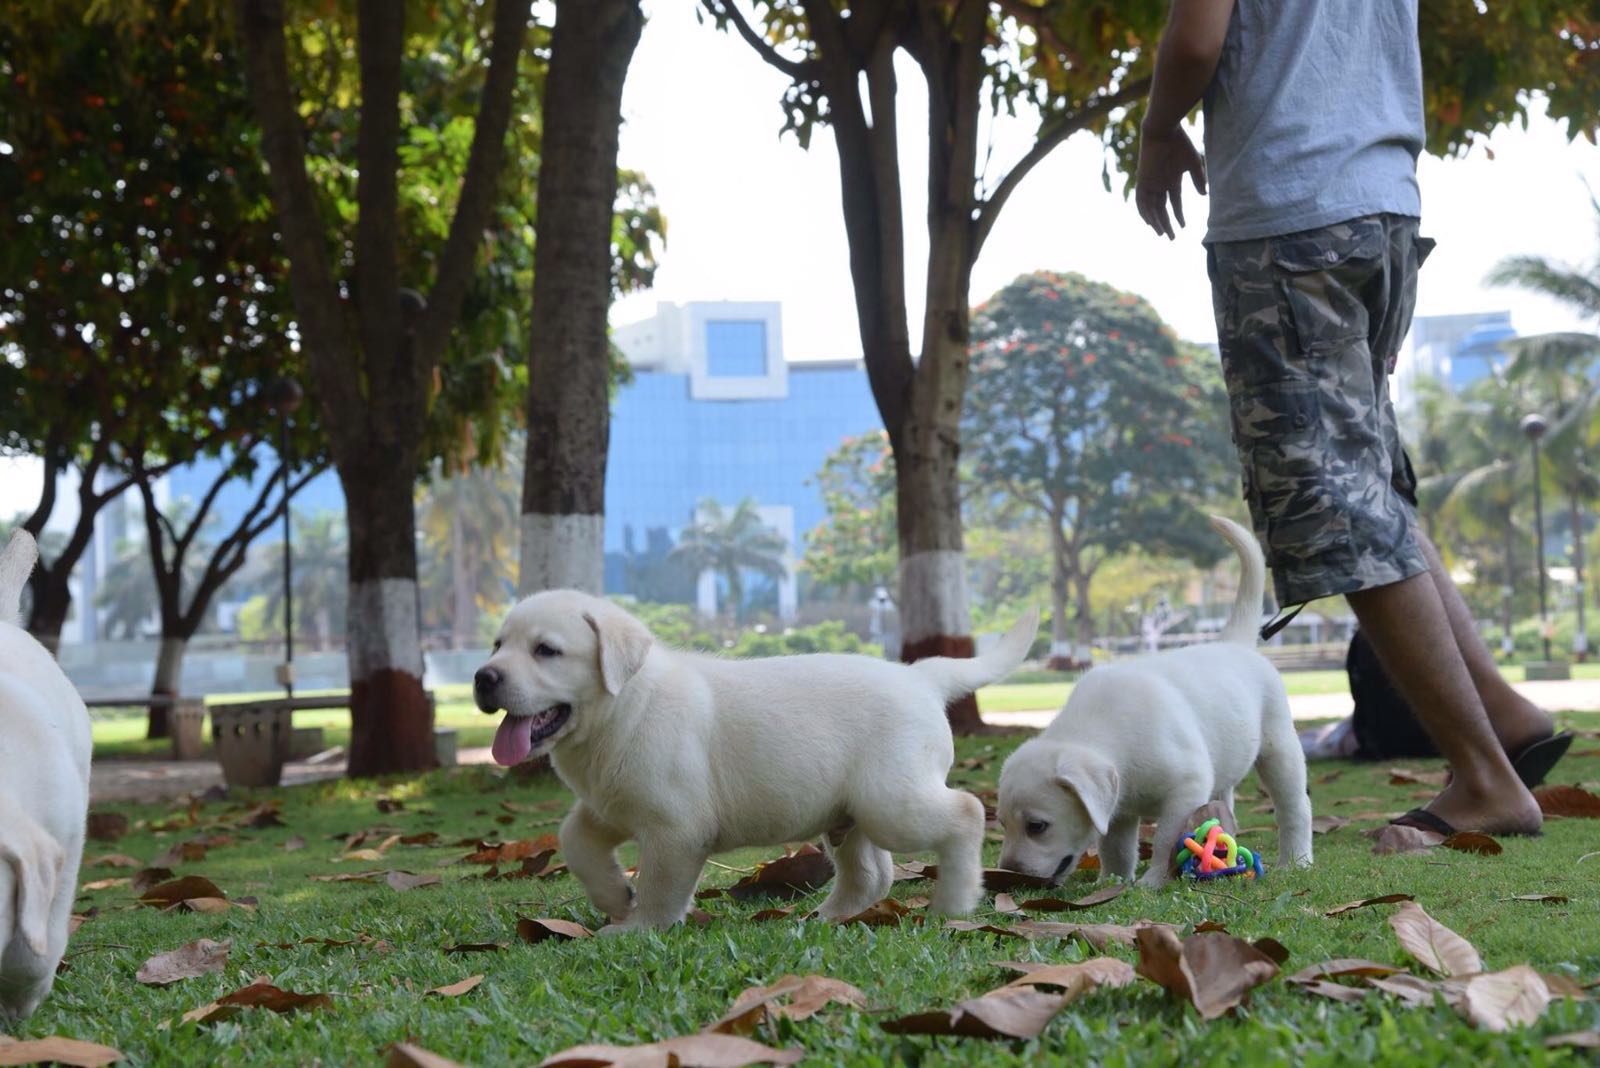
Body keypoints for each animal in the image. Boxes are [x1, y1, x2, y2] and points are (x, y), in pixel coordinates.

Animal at [470, 591, 1036, 933]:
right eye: (497, 644)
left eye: (546, 650)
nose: (483, 677)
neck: (624, 703)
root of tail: (920, 676)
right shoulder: (609, 804)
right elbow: (575, 839)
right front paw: (613, 895)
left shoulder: (675, 828)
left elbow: (660, 886)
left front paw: (637, 927)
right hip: (851, 815)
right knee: (871, 876)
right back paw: (822, 918)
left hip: (891, 802)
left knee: (965, 812)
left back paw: (955, 902)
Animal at [998, 521, 1312, 888]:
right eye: (1002, 824)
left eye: (1037, 826)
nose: (1008, 873)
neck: (1105, 728)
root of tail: (1235, 643)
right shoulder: (1117, 808)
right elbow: (1115, 848)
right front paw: (1112, 882)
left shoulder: (1186, 789)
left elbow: (1165, 839)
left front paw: (1152, 881)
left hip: (1279, 749)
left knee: (1295, 808)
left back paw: (1296, 861)